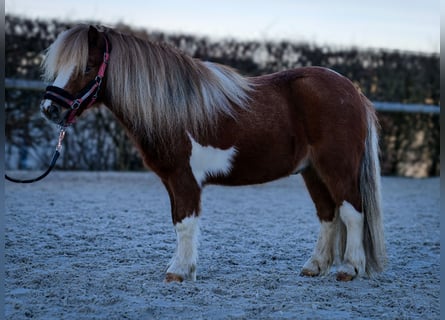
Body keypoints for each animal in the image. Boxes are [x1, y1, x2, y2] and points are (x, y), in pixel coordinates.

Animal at [40, 25, 386, 282]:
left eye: (87, 66)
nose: (50, 109)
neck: (175, 108)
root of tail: (353, 91)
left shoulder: (184, 178)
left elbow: (184, 222)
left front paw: (178, 272)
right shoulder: (172, 180)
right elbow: (178, 220)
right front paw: (185, 269)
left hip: (337, 168)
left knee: (352, 212)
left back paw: (349, 269)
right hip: (313, 171)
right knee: (328, 214)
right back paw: (314, 266)